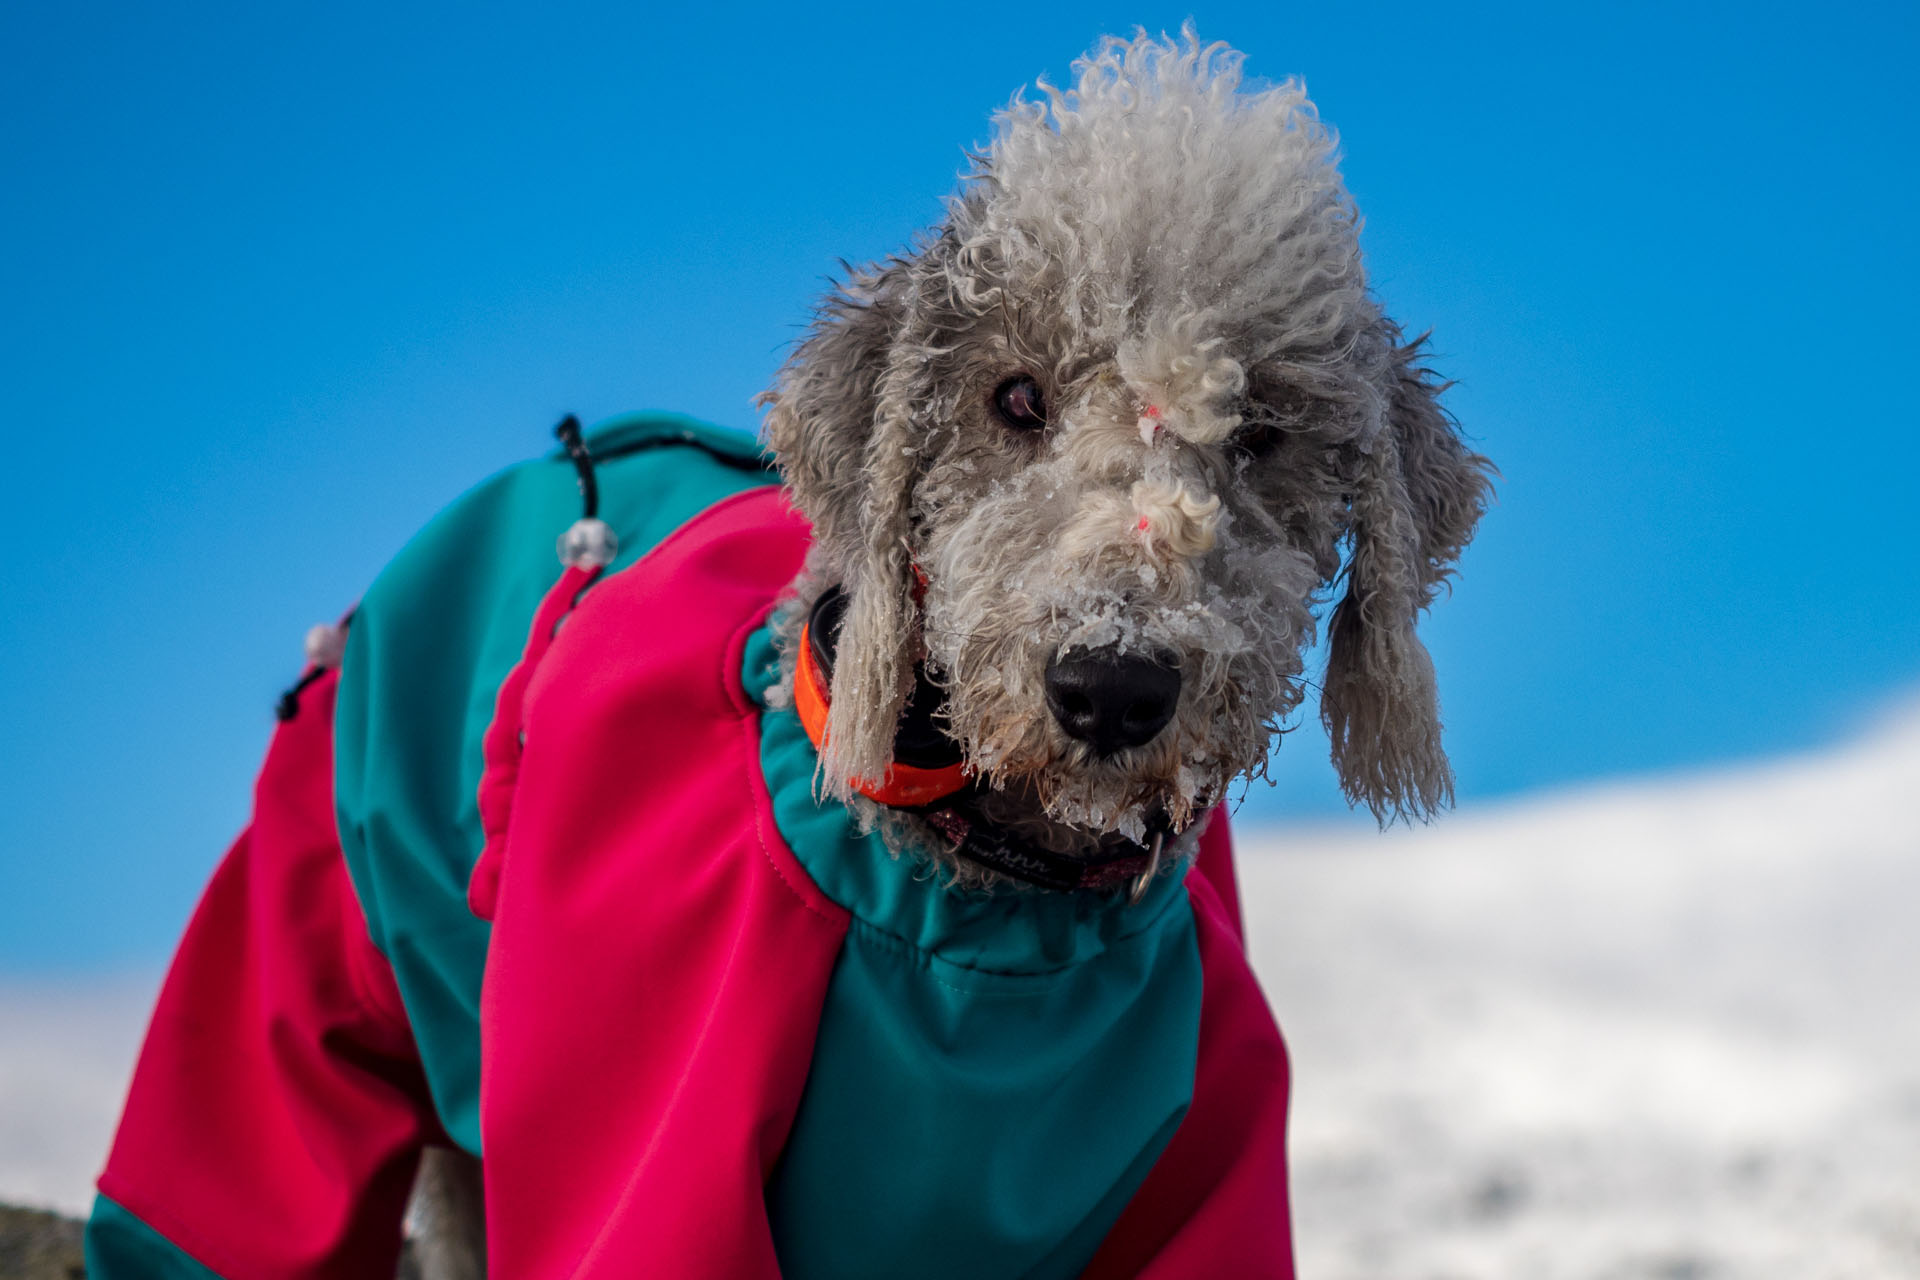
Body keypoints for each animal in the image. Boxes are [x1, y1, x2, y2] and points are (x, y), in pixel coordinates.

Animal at [86, 29, 1482, 1280]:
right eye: (1015, 398)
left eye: (1260, 434)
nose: (1111, 684)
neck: (981, 909)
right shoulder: (658, 1113)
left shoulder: (1194, 1167)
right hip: (308, 980)